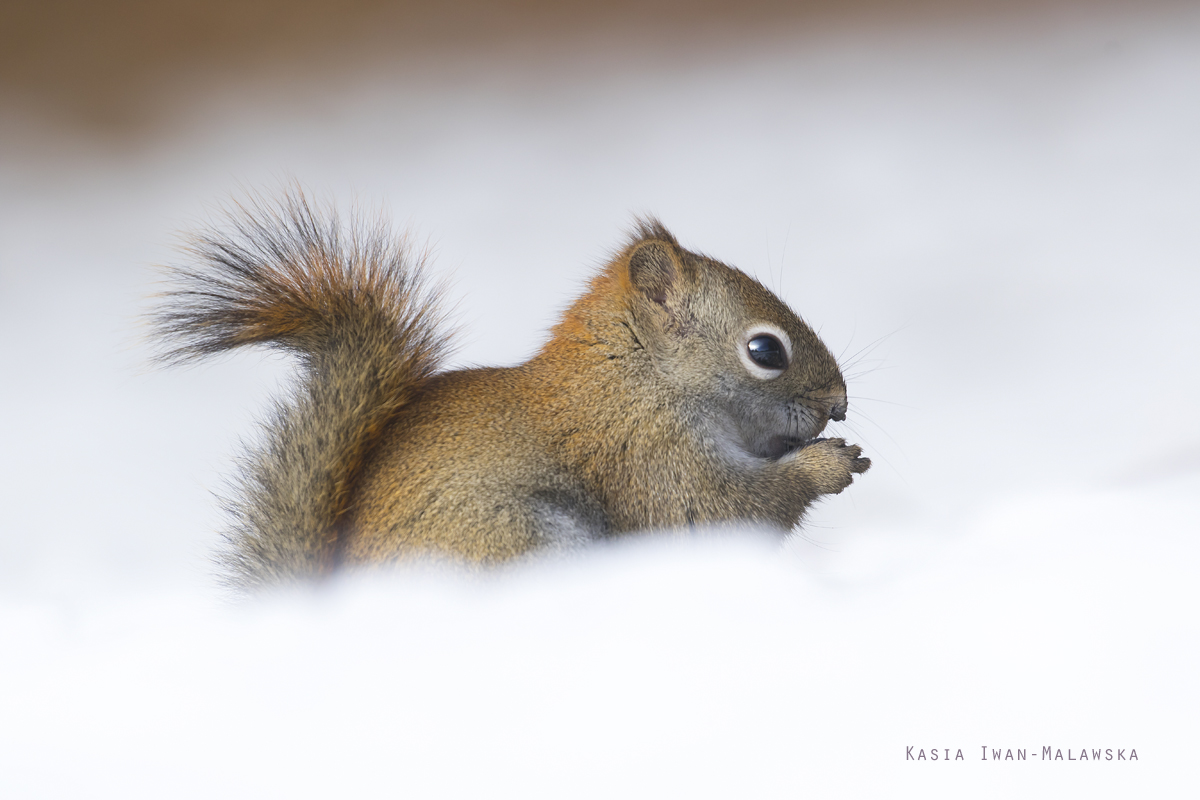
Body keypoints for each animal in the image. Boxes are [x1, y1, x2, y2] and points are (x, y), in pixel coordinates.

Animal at [157, 190, 873, 592]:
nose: (839, 403)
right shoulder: (645, 455)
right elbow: (718, 509)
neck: (634, 378)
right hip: (512, 542)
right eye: (765, 351)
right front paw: (827, 465)